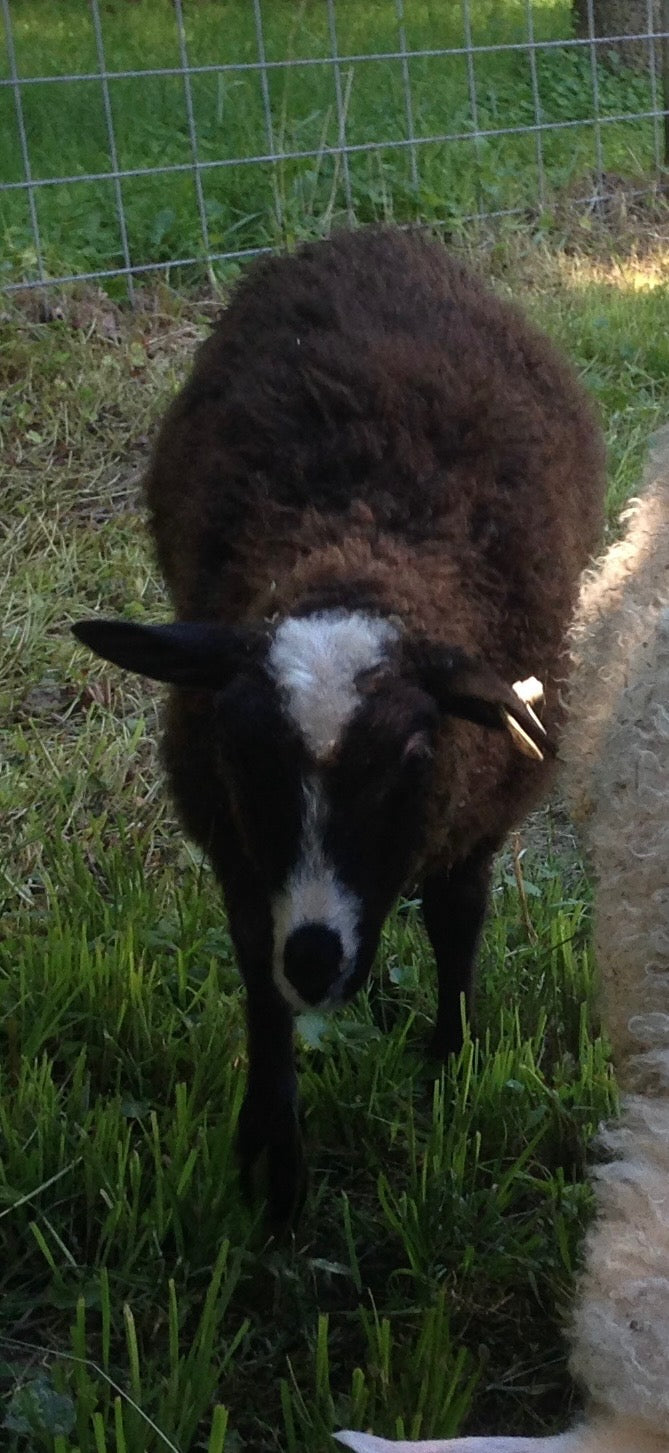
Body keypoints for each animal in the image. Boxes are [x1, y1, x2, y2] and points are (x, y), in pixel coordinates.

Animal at [72, 225, 605, 1224]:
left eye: (415, 754)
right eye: (238, 749)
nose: (317, 961)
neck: (357, 548)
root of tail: (368, 234)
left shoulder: (474, 815)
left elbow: (456, 922)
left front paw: (446, 1066)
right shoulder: (237, 848)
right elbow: (258, 982)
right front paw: (271, 1161)